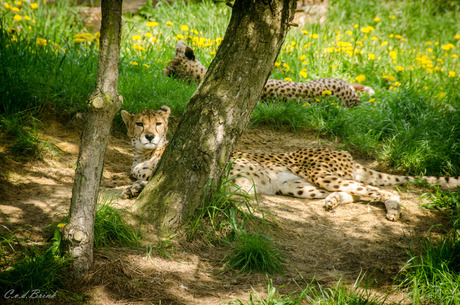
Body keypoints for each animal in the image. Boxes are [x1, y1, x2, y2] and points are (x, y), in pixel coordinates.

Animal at [119, 105, 460, 220]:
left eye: (158, 123)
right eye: (139, 124)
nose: (149, 136)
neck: (144, 153)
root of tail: (344, 152)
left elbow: (149, 179)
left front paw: (135, 187)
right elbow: (139, 179)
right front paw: (132, 188)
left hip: (319, 173)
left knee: (384, 191)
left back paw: (393, 210)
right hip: (297, 187)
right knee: (351, 194)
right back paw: (332, 203)